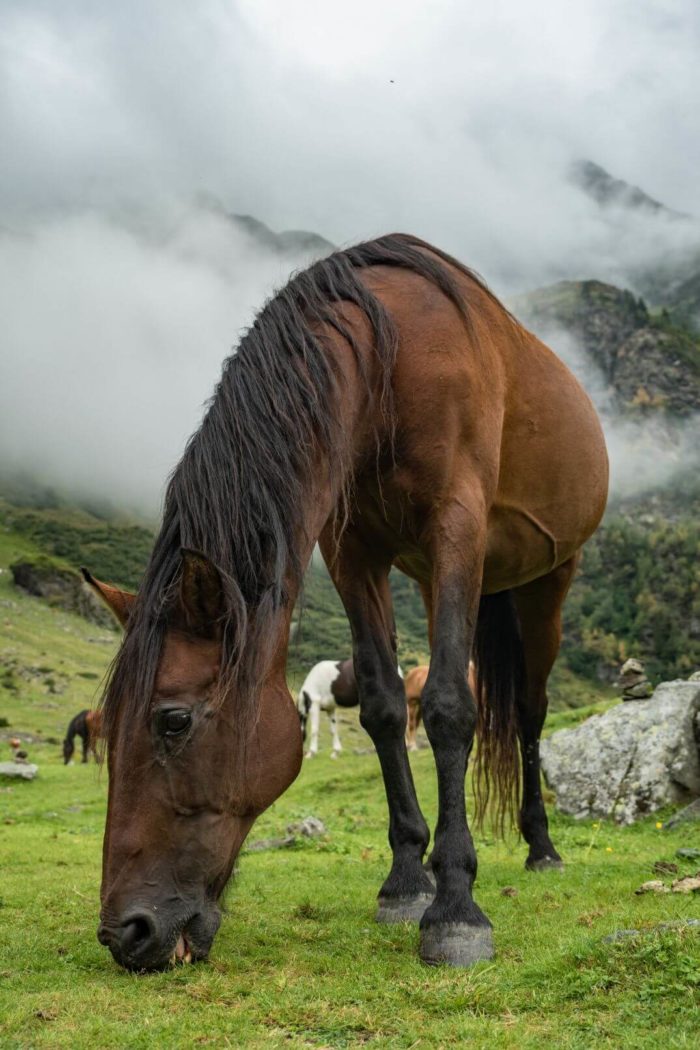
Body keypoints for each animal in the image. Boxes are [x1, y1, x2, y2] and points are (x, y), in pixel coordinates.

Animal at [83, 234, 608, 970]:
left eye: (173, 721)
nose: (126, 933)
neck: (389, 363)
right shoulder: (351, 549)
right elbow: (386, 706)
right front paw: (406, 882)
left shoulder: (457, 524)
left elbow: (449, 706)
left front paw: (455, 908)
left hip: (549, 580)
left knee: (530, 713)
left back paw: (541, 846)